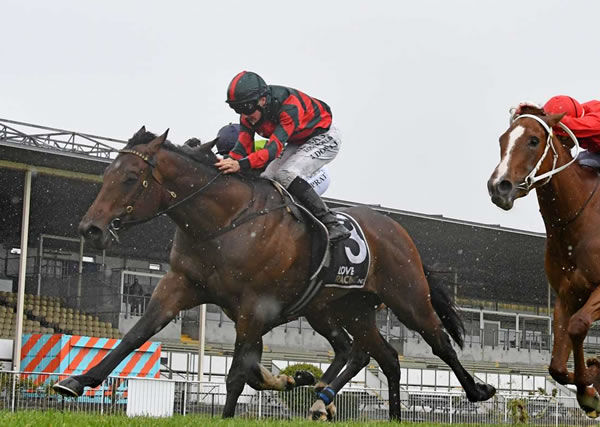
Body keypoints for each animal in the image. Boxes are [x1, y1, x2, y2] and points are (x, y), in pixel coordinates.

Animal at [55, 128, 496, 422]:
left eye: (130, 178)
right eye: (106, 176)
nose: (90, 229)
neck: (224, 221)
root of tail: (398, 230)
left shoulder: (257, 308)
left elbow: (239, 371)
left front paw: (242, 407)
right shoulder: (181, 285)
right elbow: (136, 334)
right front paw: (76, 381)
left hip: (407, 297)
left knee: (437, 340)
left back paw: (478, 389)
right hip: (346, 308)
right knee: (373, 353)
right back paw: (356, 407)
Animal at [488, 106, 600, 418]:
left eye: (534, 140)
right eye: (502, 140)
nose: (498, 187)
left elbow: (579, 325)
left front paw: (591, 382)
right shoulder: (566, 295)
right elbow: (558, 366)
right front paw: (589, 388)